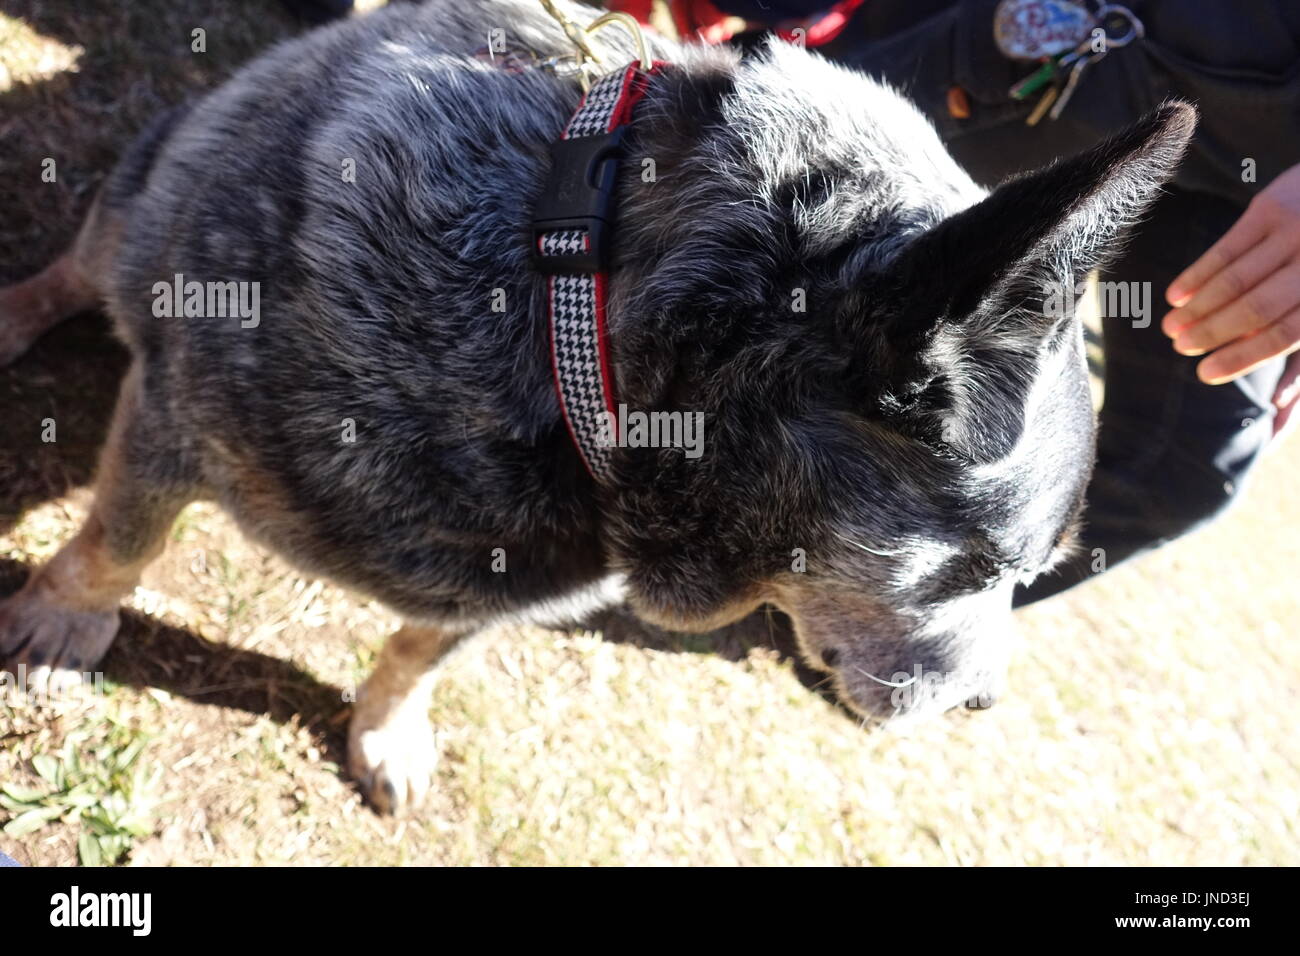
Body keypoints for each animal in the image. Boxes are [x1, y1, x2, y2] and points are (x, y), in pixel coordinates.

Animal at [0, 0, 1190, 811]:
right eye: (987, 569)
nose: (986, 703)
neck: (575, 315)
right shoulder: (175, 409)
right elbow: (122, 541)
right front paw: (65, 621)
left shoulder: (509, 586)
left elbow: (423, 648)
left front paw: (387, 728)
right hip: (137, 205)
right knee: (77, 267)